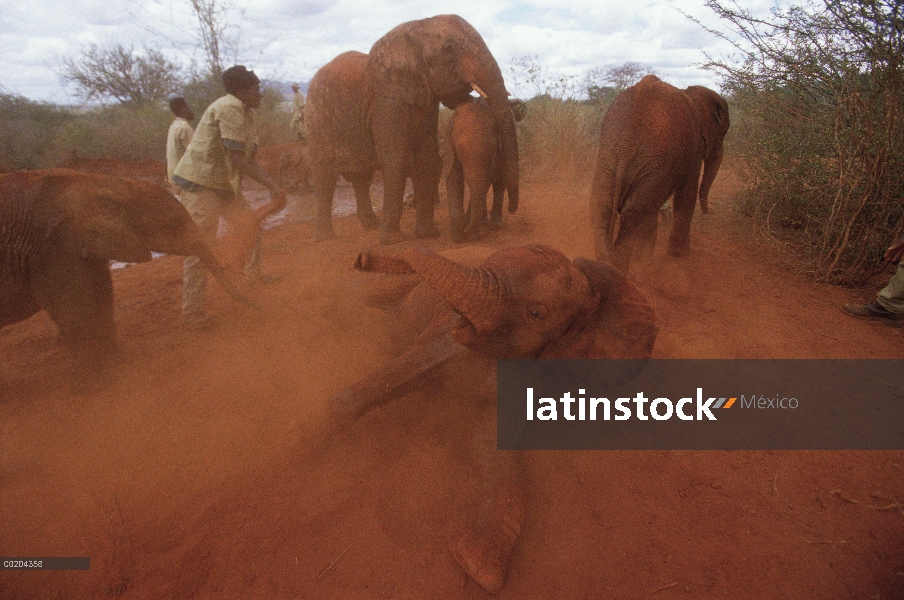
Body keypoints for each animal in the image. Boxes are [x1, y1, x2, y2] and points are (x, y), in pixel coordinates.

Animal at [0, 168, 254, 390]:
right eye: (173, 225)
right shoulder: (51, 250)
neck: (105, 184)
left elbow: (103, 296)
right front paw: (93, 387)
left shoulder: (86, 245)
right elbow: (76, 312)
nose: (257, 308)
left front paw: (115, 363)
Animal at [330, 244, 656, 596]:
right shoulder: (444, 335)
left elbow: (494, 454)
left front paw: (478, 566)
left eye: (536, 313)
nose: (363, 257)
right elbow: (367, 392)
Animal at [444, 97, 528, 243]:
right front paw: (458, 235)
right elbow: (453, 176)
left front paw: (472, 231)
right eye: (461, 151)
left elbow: (492, 179)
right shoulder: (450, 147)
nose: (510, 209)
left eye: (492, 147)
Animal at [588, 75, 732, 272]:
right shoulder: (693, 148)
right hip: (647, 159)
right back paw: (623, 269)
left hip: (611, 159)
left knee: (604, 205)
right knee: (634, 212)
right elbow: (686, 196)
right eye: (723, 133)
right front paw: (679, 255)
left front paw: (647, 257)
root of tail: (625, 143)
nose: (709, 211)